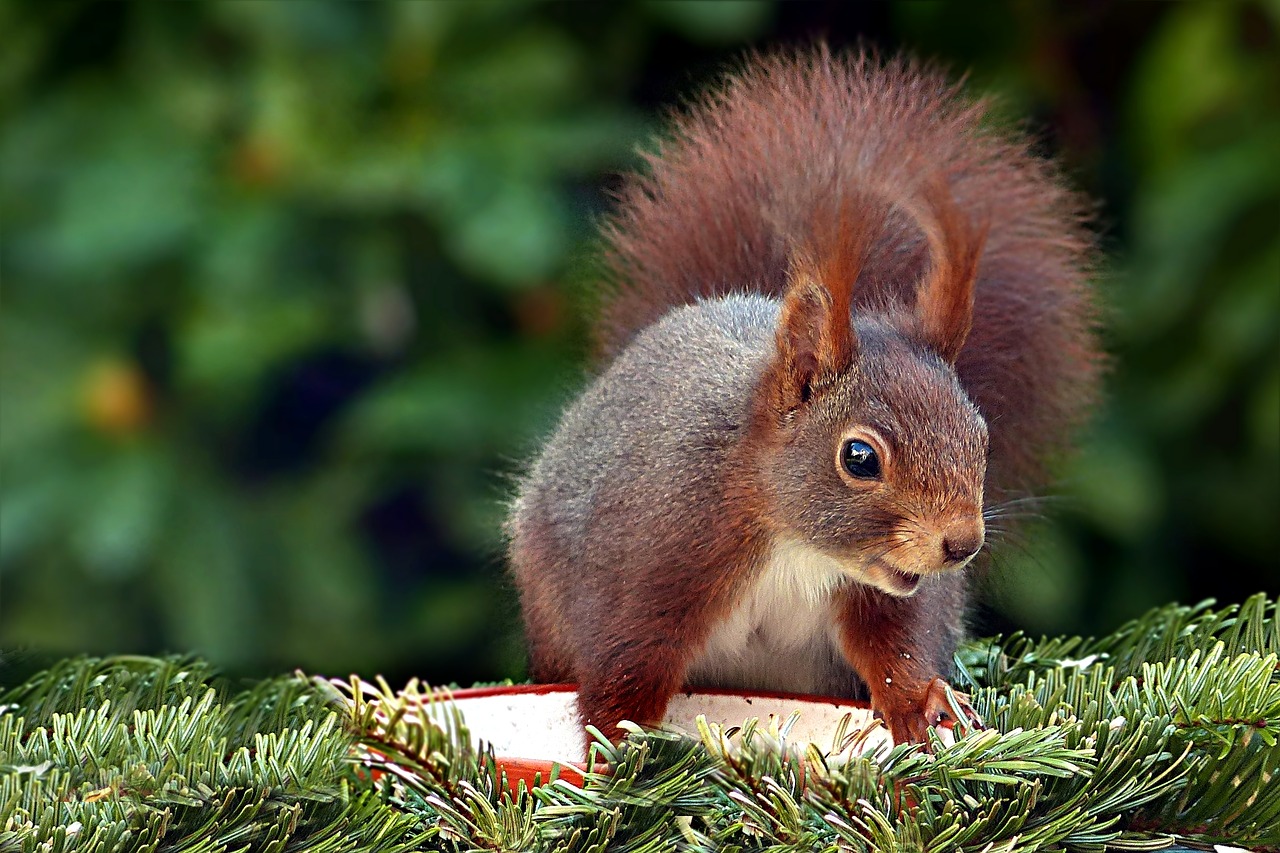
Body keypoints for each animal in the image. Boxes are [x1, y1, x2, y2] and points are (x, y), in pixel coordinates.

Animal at [506, 46, 1100, 742]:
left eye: (981, 438)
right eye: (859, 458)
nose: (962, 544)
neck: (795, 542)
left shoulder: (883, 594)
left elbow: (894, 649)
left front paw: (925, 701)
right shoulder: (657, 560)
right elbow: (624, 667)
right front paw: (616, 750)